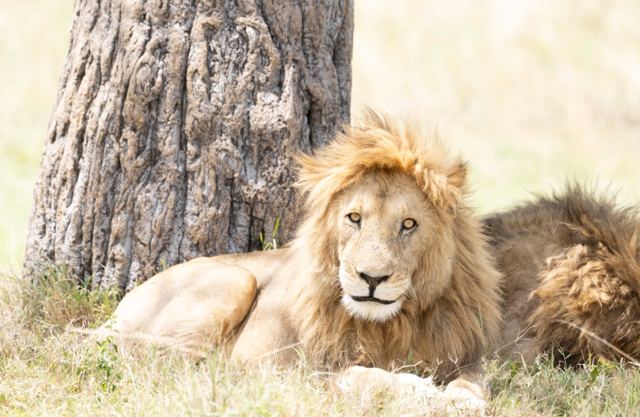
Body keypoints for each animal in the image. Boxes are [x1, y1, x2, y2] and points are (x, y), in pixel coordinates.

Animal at [103, 113, 502, 403]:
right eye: (354, 218)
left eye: (408, 224)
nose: (372, 279)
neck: (390, 324)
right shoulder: (307, 371)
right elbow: (363, 376)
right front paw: (417, 389)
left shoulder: (464, 355)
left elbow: (475, 383)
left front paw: (462, 400)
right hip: (235, 281)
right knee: (172, 371)